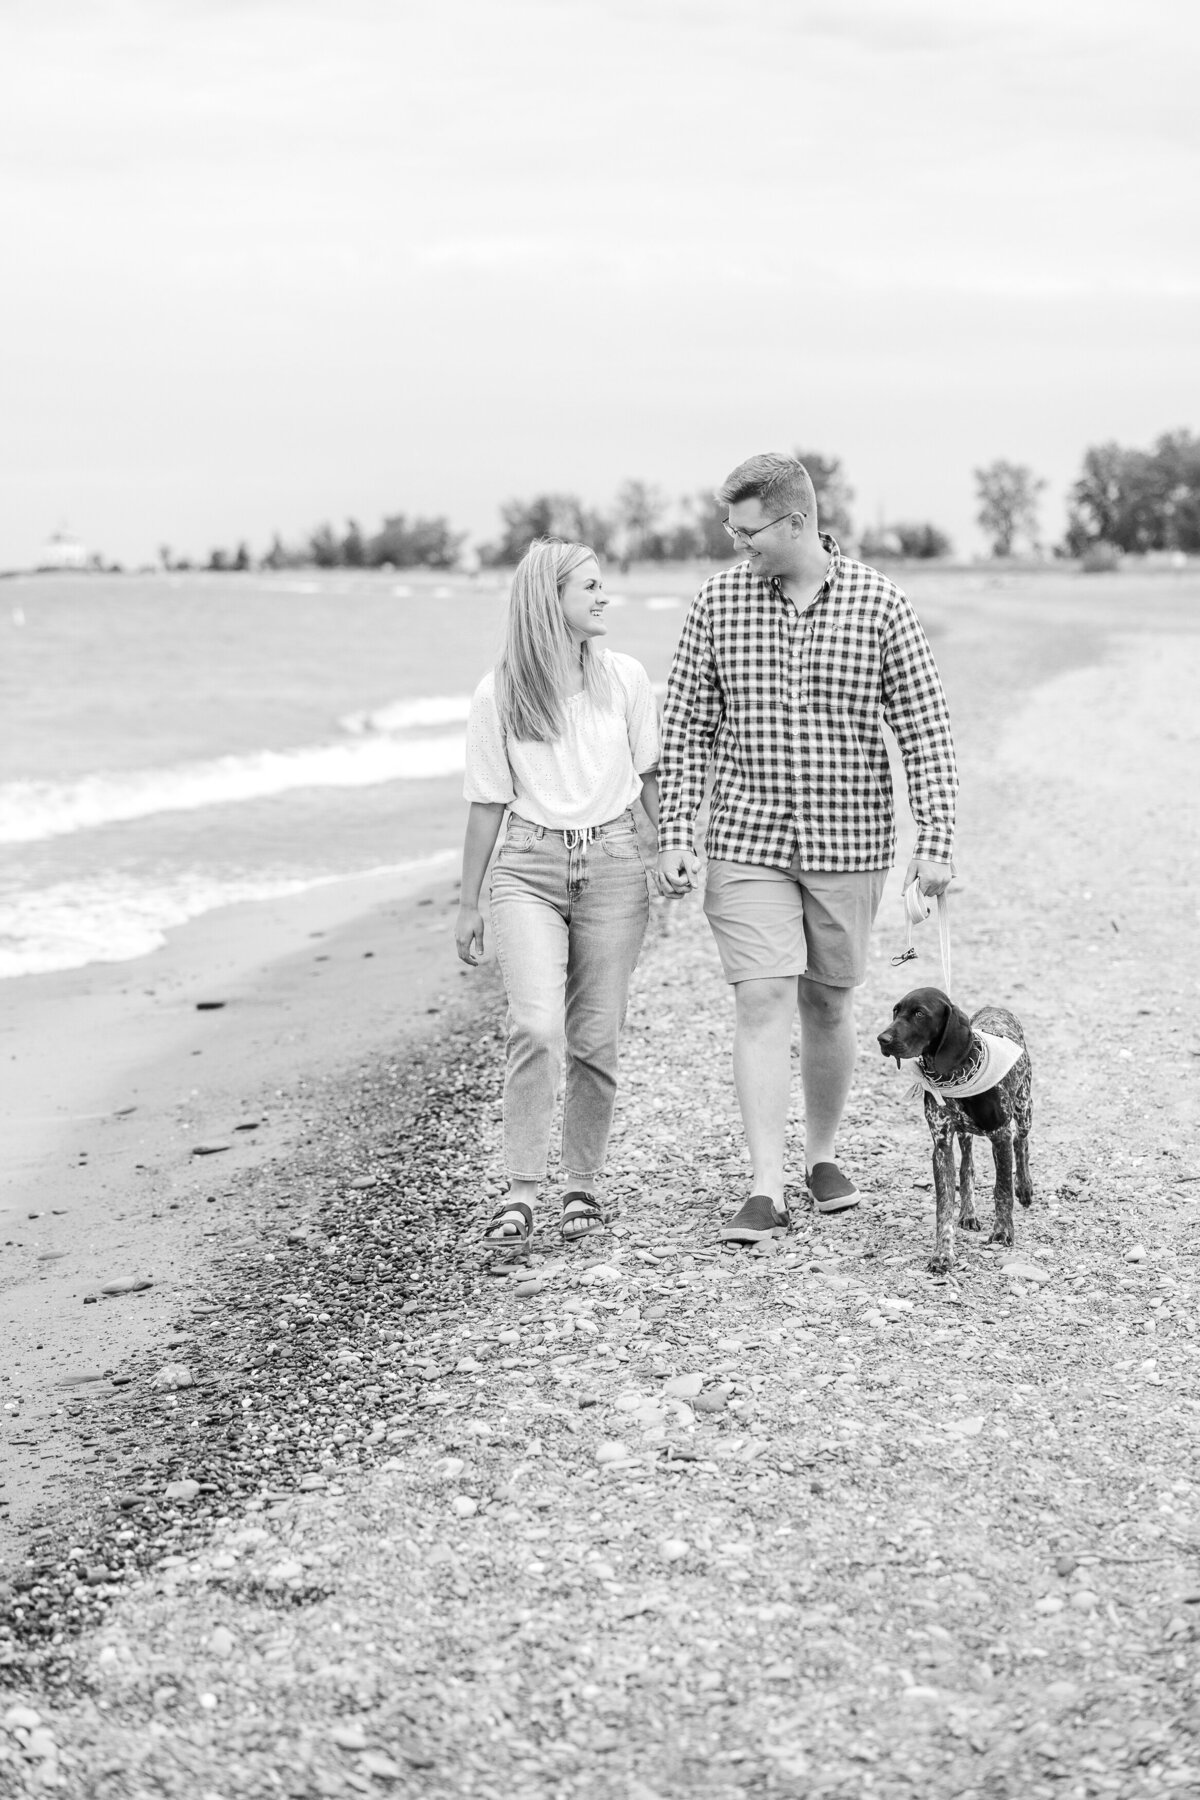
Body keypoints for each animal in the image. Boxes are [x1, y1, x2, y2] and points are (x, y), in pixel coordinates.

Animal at [877, 993, 1036, 1274]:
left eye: (920, 1014)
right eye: (896, 1011)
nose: (882, 1039)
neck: (953, 1074)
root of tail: (997, 1008)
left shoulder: (1001, 1135)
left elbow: (1002, 1190)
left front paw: (1003, 1231)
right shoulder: (942, 1145)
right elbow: (945, 1204)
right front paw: (942, 1253)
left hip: (1024, 1108)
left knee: (1022, 1142)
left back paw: (1024, 1187)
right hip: (965, 1135)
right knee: (967, 1168)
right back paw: (968, 1213)